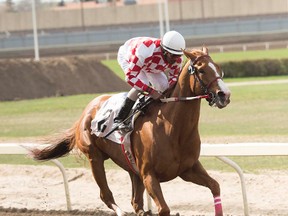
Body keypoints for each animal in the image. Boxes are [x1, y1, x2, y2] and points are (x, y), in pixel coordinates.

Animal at [30, 47, 231, 216]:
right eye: (202, 70)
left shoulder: (188, 169)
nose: (225, 95)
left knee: (136, 202)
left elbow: (215, 186)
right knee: (106, 196)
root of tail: (85, 112)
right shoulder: (149, 175)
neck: (173, 130)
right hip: (95, 157)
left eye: (219, 68)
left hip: (132, 169)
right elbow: (164, 209)